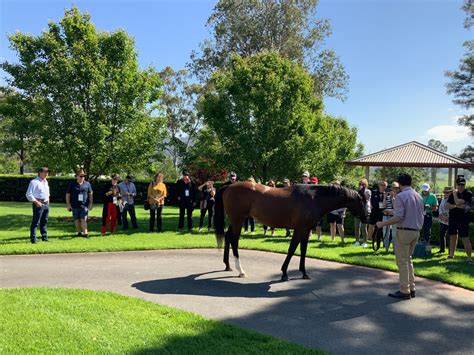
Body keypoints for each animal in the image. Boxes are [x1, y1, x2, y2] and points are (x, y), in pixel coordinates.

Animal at [214, 182, 366, 282]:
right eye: (363, 201)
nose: (367, 216)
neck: (314, 199)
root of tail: (228, 186)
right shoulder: (299, 229)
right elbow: (292, 249)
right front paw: (284, 273)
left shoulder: (306, 230)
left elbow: (303, 251)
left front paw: (304, 273)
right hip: (238, 220)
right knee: (234, 240)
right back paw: (241, 271)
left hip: (236, 221)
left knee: (227, 237)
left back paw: (227, 265)